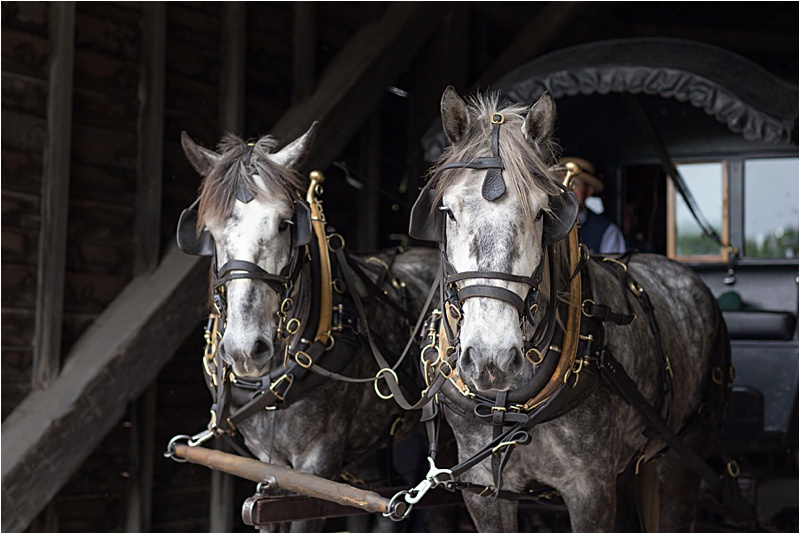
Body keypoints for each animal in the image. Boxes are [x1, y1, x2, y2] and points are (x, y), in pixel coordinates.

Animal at [410, 88, 736, 532]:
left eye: (541, 212)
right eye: (448, 211)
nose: (492, 359)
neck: (509, 404)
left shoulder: (590, 487)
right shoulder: (482, 489)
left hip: (685, 452)